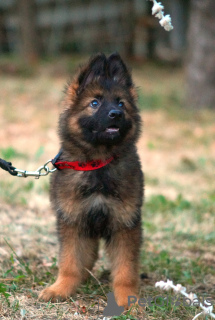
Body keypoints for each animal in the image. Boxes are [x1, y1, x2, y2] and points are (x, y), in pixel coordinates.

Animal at [39, 52, 143, 308]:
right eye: (94, 103)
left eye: (121, 103)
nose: (116, 114)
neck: (98, 163)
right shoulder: (73, 221)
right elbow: (69, 262)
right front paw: (62, 288)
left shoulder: (125, 223)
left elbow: (126, 268)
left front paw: (126, 297)